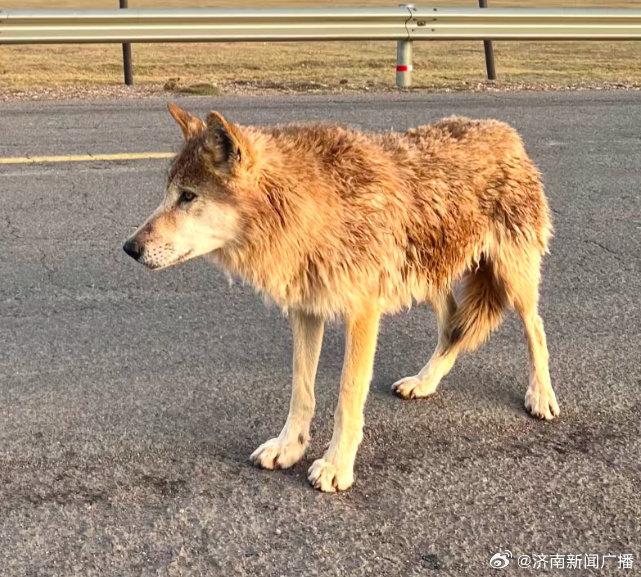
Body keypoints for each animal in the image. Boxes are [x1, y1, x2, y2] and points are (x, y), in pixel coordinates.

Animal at [122, 103, 556, 490]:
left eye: (188, 196)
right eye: (167, 194)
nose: (129, 247)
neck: (312, 209)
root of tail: (506, 132)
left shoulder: (363, 313)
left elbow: (348, 398)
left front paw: (336, 467)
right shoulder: (305, 311)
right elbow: (302, 390)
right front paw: (289, 447)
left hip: (512, 278)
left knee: (535, 328)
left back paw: (542, 397)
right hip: (428, 278)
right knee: (453, 328)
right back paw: (423, 382)